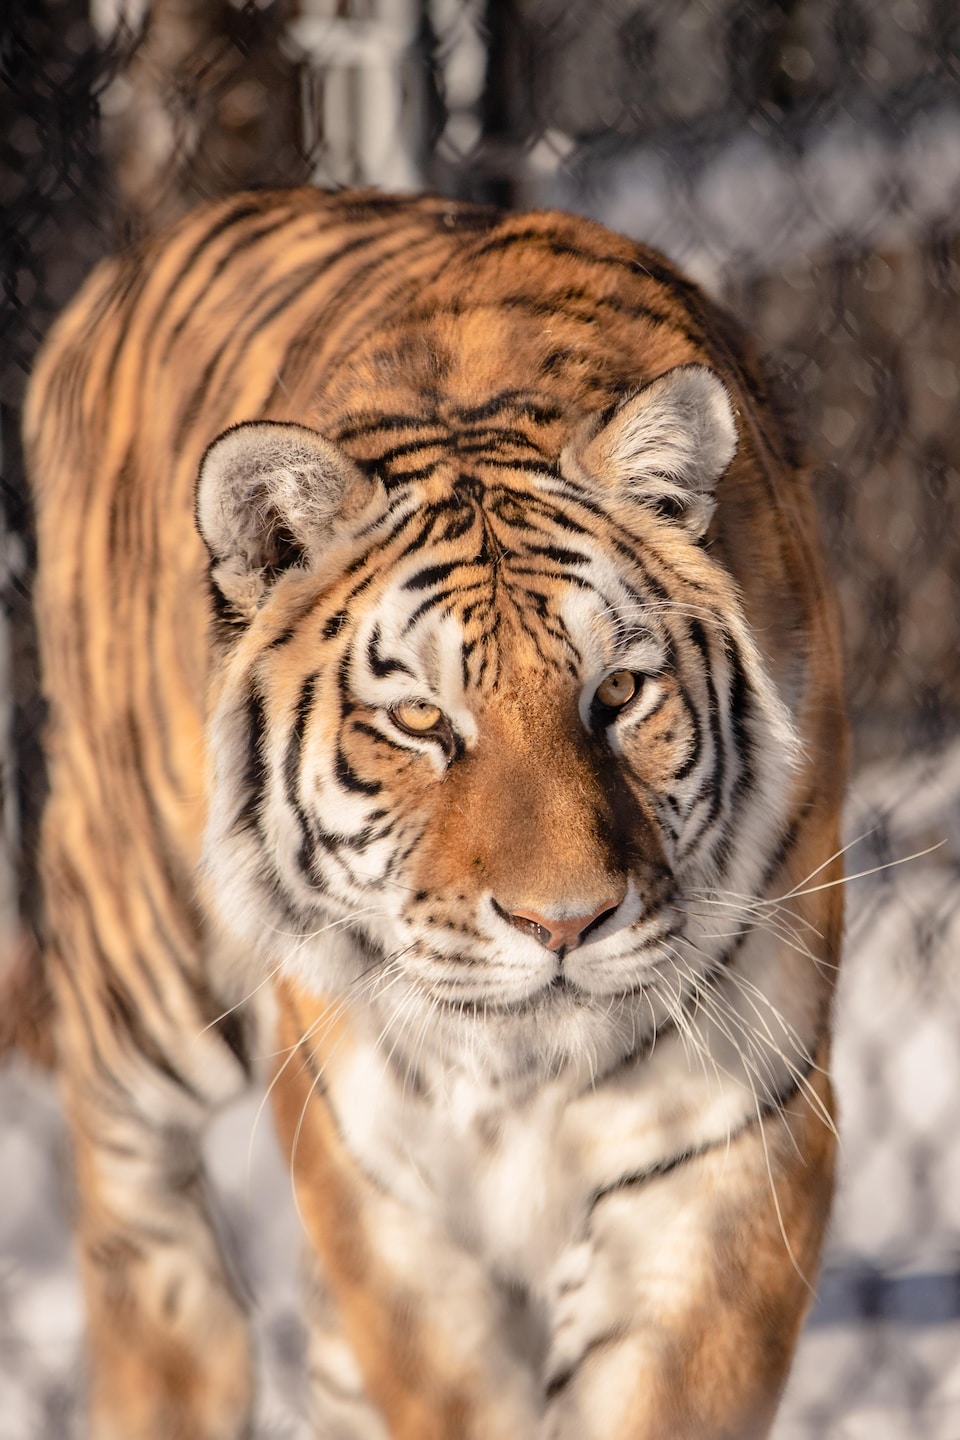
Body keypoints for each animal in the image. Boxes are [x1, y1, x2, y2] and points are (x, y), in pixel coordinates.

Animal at [22, 187, 846, 1440]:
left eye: (618, 695)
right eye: (419, 720)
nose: (564, 924)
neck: (527, 1075)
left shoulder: (732, 1144)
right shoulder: (382, 1186)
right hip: (139, 963)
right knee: (135, 1223)